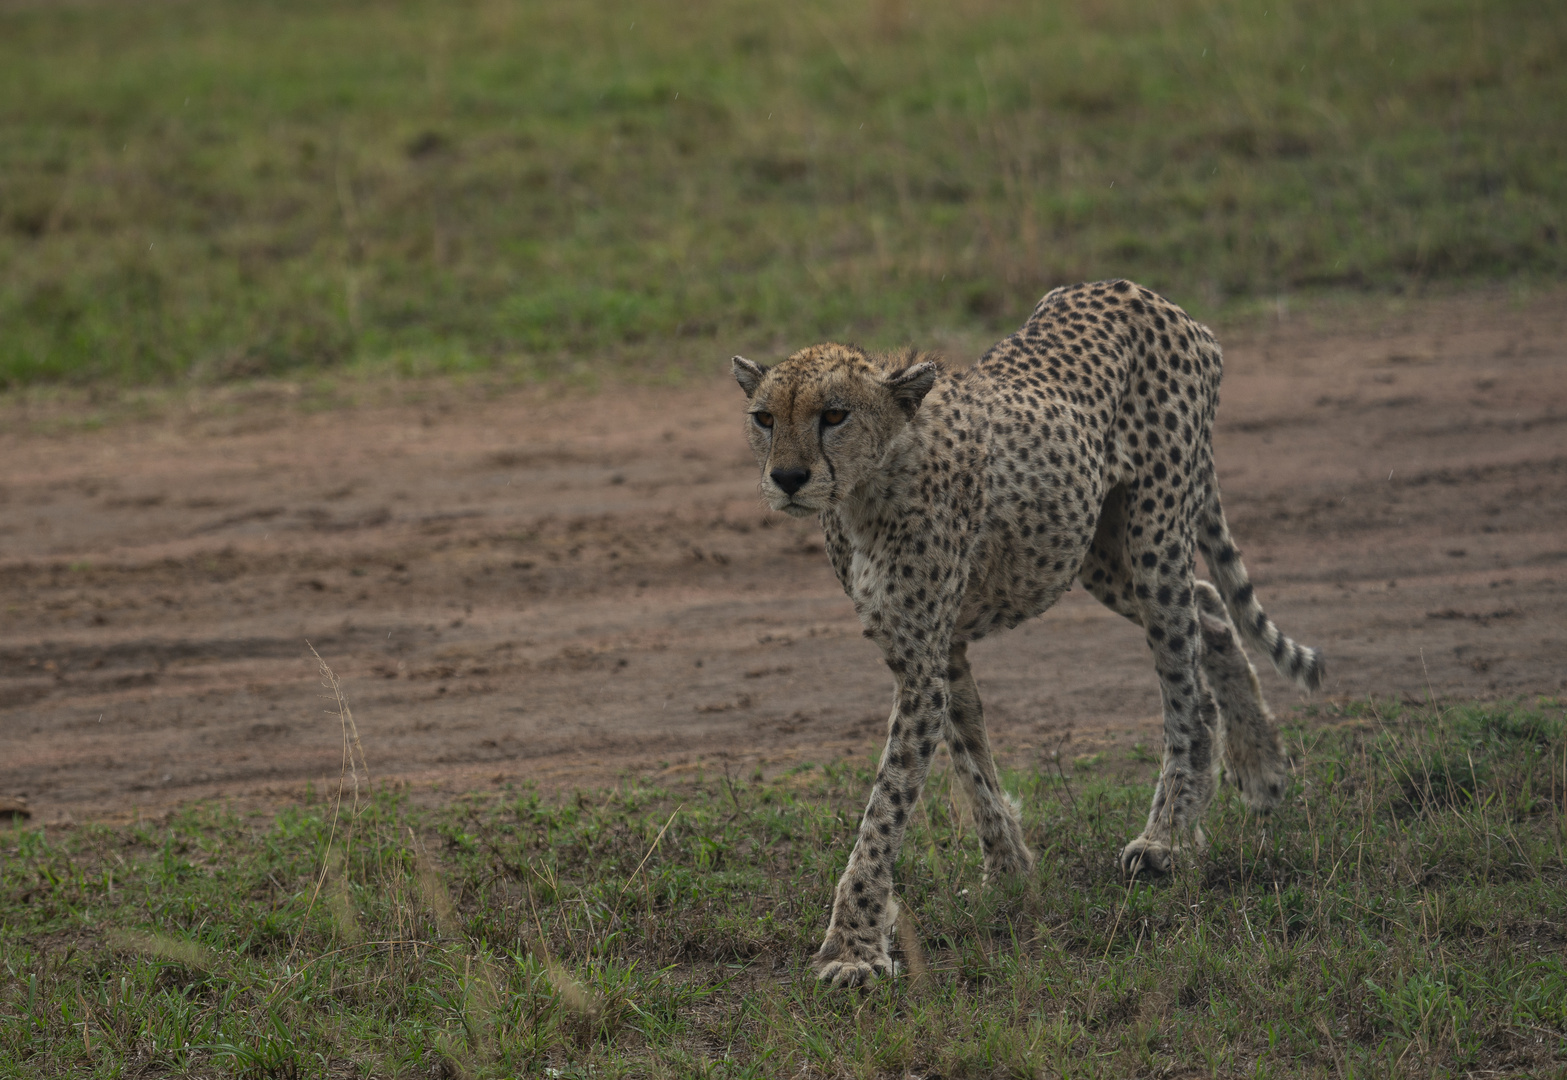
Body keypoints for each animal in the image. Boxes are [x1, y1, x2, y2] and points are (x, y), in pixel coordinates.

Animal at [733, 277, 1322, 984]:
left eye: (834, 415)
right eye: (766, 419)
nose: (788, 478)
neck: (870, 485)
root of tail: (1142, 292)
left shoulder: (922, 661)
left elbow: (886, 805)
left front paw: (853, 947)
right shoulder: (934, 649)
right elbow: (970, 759)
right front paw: (1009, 871)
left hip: (1153, 536)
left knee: (1187, 686)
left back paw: (1168, 837)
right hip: (1094, 550)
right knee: (1210, 609)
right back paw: (1261, 767)